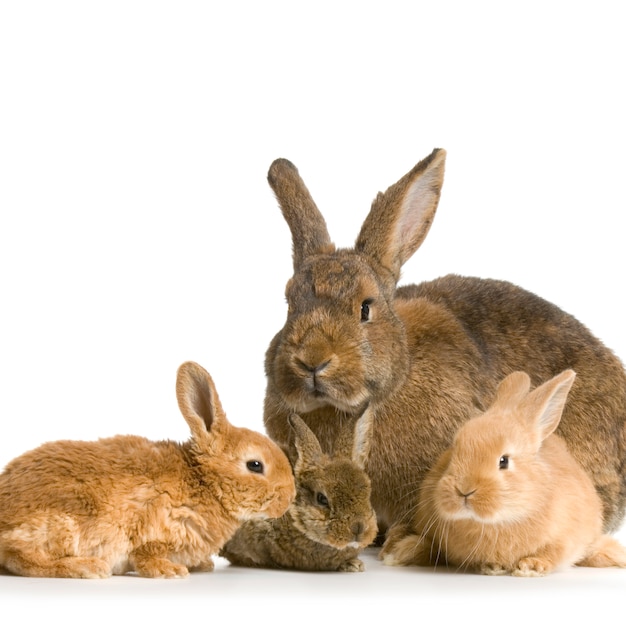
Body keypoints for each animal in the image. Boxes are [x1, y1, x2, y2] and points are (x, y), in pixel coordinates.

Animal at [0, 358, 294, 576]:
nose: (288, 499)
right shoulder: (154, 532)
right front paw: (170, 571)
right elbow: (146, 556)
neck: (204, 482)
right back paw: (86, 567)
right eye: (255, 465)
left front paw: (202, 565)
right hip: (60, 523)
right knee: (21, 558)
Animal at [378, 370, 624, 576]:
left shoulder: (567, 535)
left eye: (503, 461)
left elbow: (554, 553)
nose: (464, 490)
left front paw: (531, 567)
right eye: (453, 449)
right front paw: (491, 566)